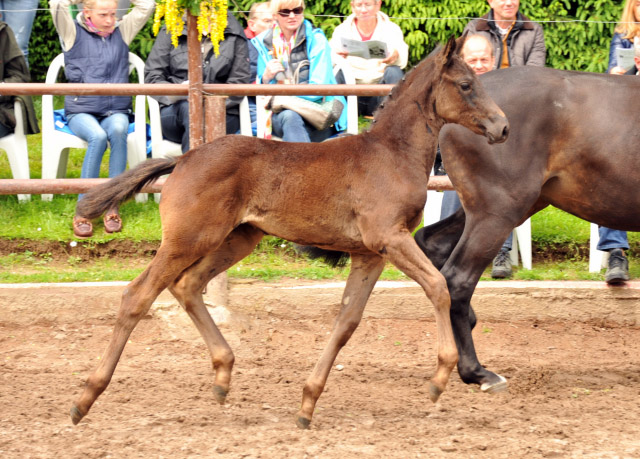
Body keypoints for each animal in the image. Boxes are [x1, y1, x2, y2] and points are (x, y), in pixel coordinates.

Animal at [69, 36, 510, 432]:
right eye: (466, 84)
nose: (503, 127)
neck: (391, 154)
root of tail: (184, 158)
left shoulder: (370, 253)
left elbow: (348, 320)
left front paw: (307, 403)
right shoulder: (390, 238)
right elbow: (438, 286)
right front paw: (440, 378)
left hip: (238, 238)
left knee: (187, 285)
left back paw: (223, 376)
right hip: (187, 240)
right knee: (138, 295)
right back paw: (85, 398)